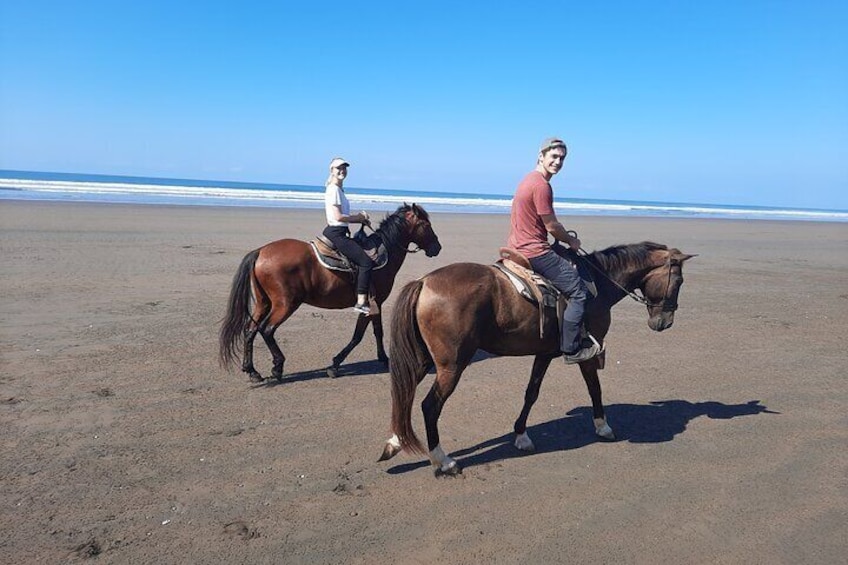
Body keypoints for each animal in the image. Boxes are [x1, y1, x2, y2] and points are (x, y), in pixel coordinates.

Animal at [219, 203, 440, 384]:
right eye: (426, 224)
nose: (437, 247)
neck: (383, 253)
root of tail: (261, 251)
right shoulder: (369, 304)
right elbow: (358, 336)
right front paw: (335, 364)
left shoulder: (376, 303)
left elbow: (377, 331)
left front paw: (383, 359)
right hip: (285, 304)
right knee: (267, 329)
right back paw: (277, 367)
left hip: (263, 303)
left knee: (250, 330)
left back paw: (252, 371)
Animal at [380, 240, 696, 474]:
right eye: (679, 280)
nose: (664, 322)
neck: (597, 283)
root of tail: (424, 282)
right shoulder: (587, 352)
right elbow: (595, 388)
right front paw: (602, 425)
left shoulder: (543, 354)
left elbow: (531, 392)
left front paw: (521, 435)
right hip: (452, 366)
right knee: (429, 406)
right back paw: (442, 460)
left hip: (424, 360)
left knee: (403, 392)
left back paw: (394, 442)